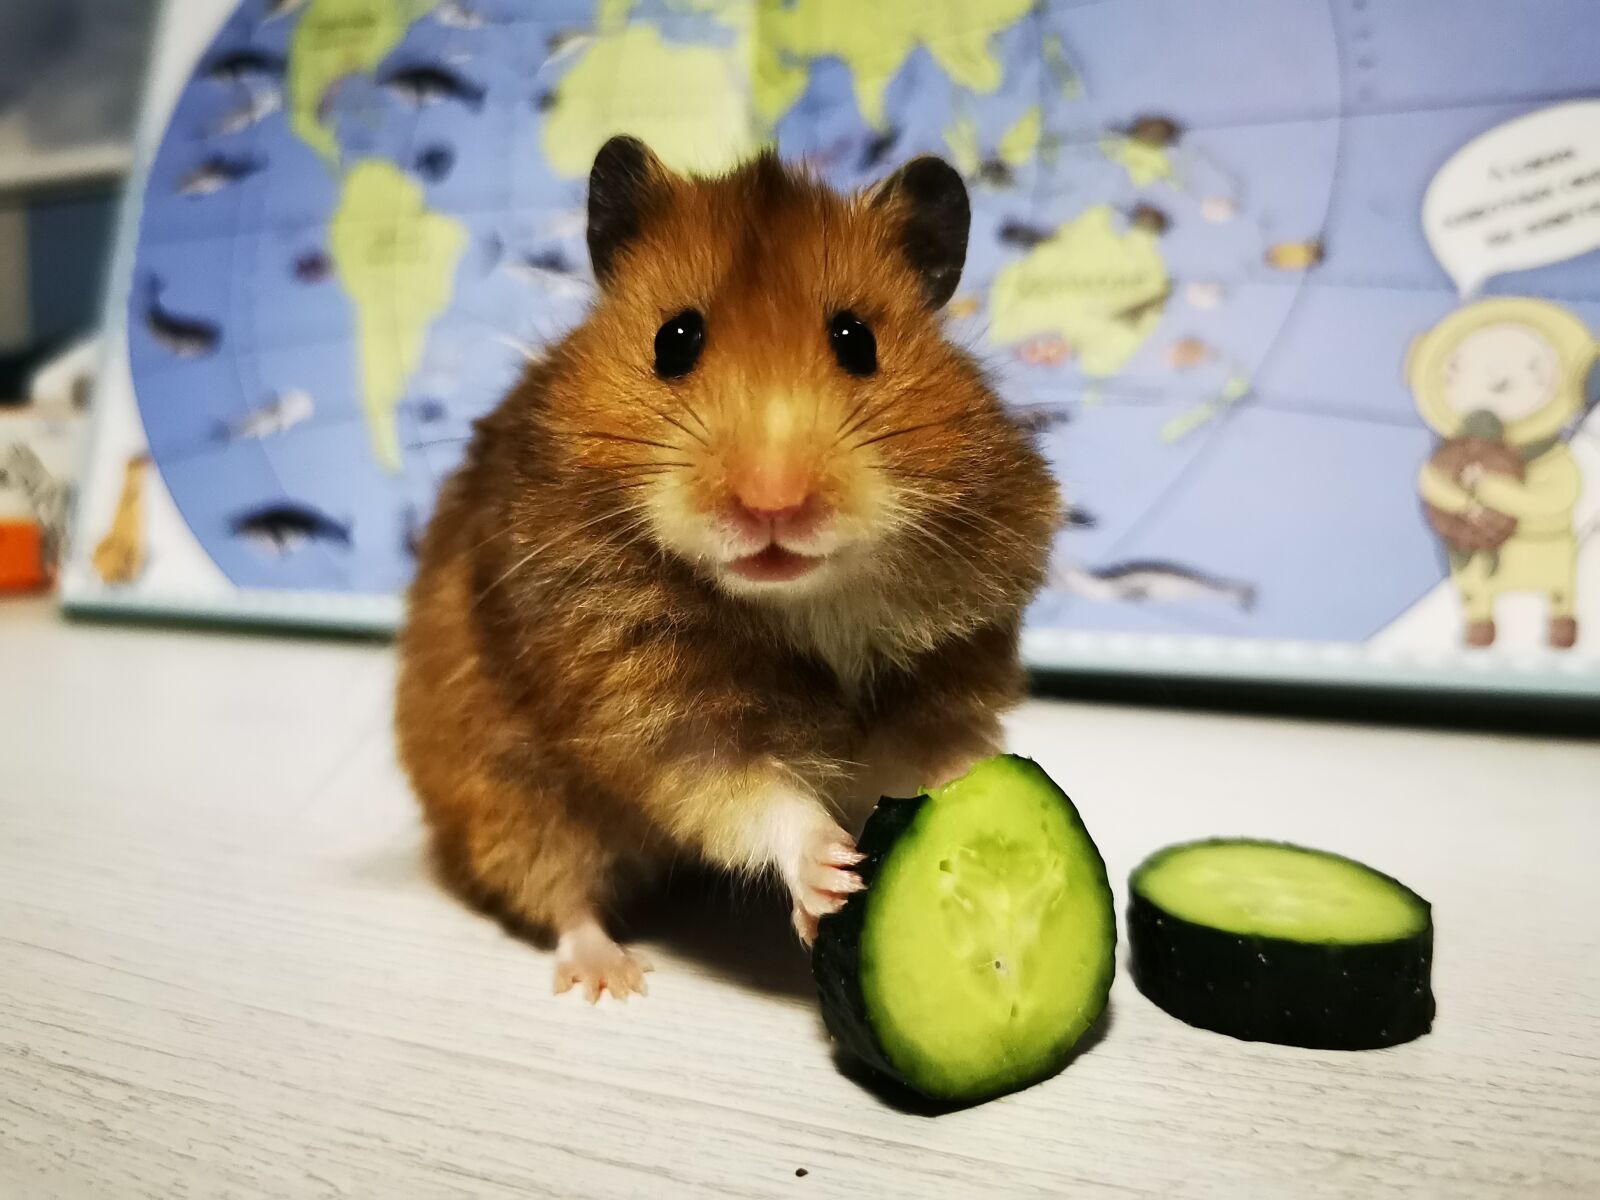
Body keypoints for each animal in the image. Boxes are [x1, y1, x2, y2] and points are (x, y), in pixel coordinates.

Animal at [395, 137, 1061, 1002]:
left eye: (857, 340)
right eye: (674, 339)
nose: (772, 504)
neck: (804, 604)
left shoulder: (945, 675)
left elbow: (943, 755)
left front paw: (999, 794)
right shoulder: (656, 717)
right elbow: (754, 797)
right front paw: (833, 877)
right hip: (510, 801)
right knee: (560, 893)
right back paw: (613, 978)